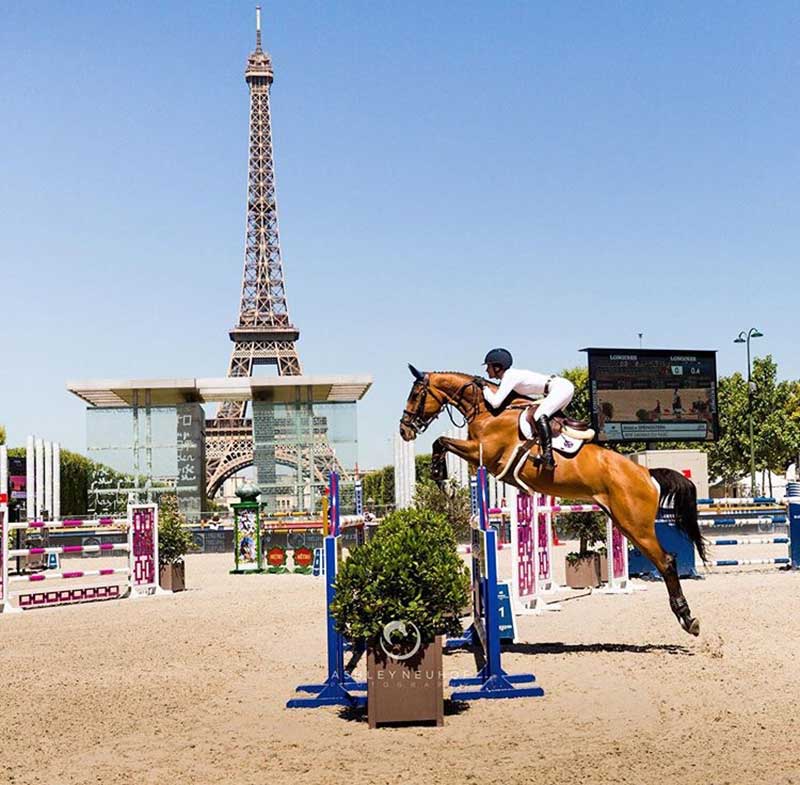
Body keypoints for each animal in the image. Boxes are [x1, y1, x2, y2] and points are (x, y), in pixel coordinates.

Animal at [400, 370, 708, 636]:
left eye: (415, 394)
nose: (404, 430)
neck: (488, 410)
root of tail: (646, 473)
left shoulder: (482, 454)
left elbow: (441, 441)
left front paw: (437, 471)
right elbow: (442, 442)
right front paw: (438, 472)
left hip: (637, 526)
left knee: (666, 561)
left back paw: (687, 619)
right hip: (623, 522)